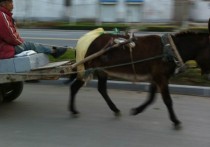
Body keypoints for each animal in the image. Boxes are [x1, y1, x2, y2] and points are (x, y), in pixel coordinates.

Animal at [69, 22, 210, 129]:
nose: (208, 76)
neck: (170, 49)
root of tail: (85, 41)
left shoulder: (156, 77)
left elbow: (151, 98)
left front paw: (137, 110)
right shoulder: (161, 77)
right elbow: (167, 100)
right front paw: (176, 121)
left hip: (102, 71)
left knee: (102, 89)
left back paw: (115, 110)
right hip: (87, 68)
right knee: (74, 87)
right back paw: (73, 111)